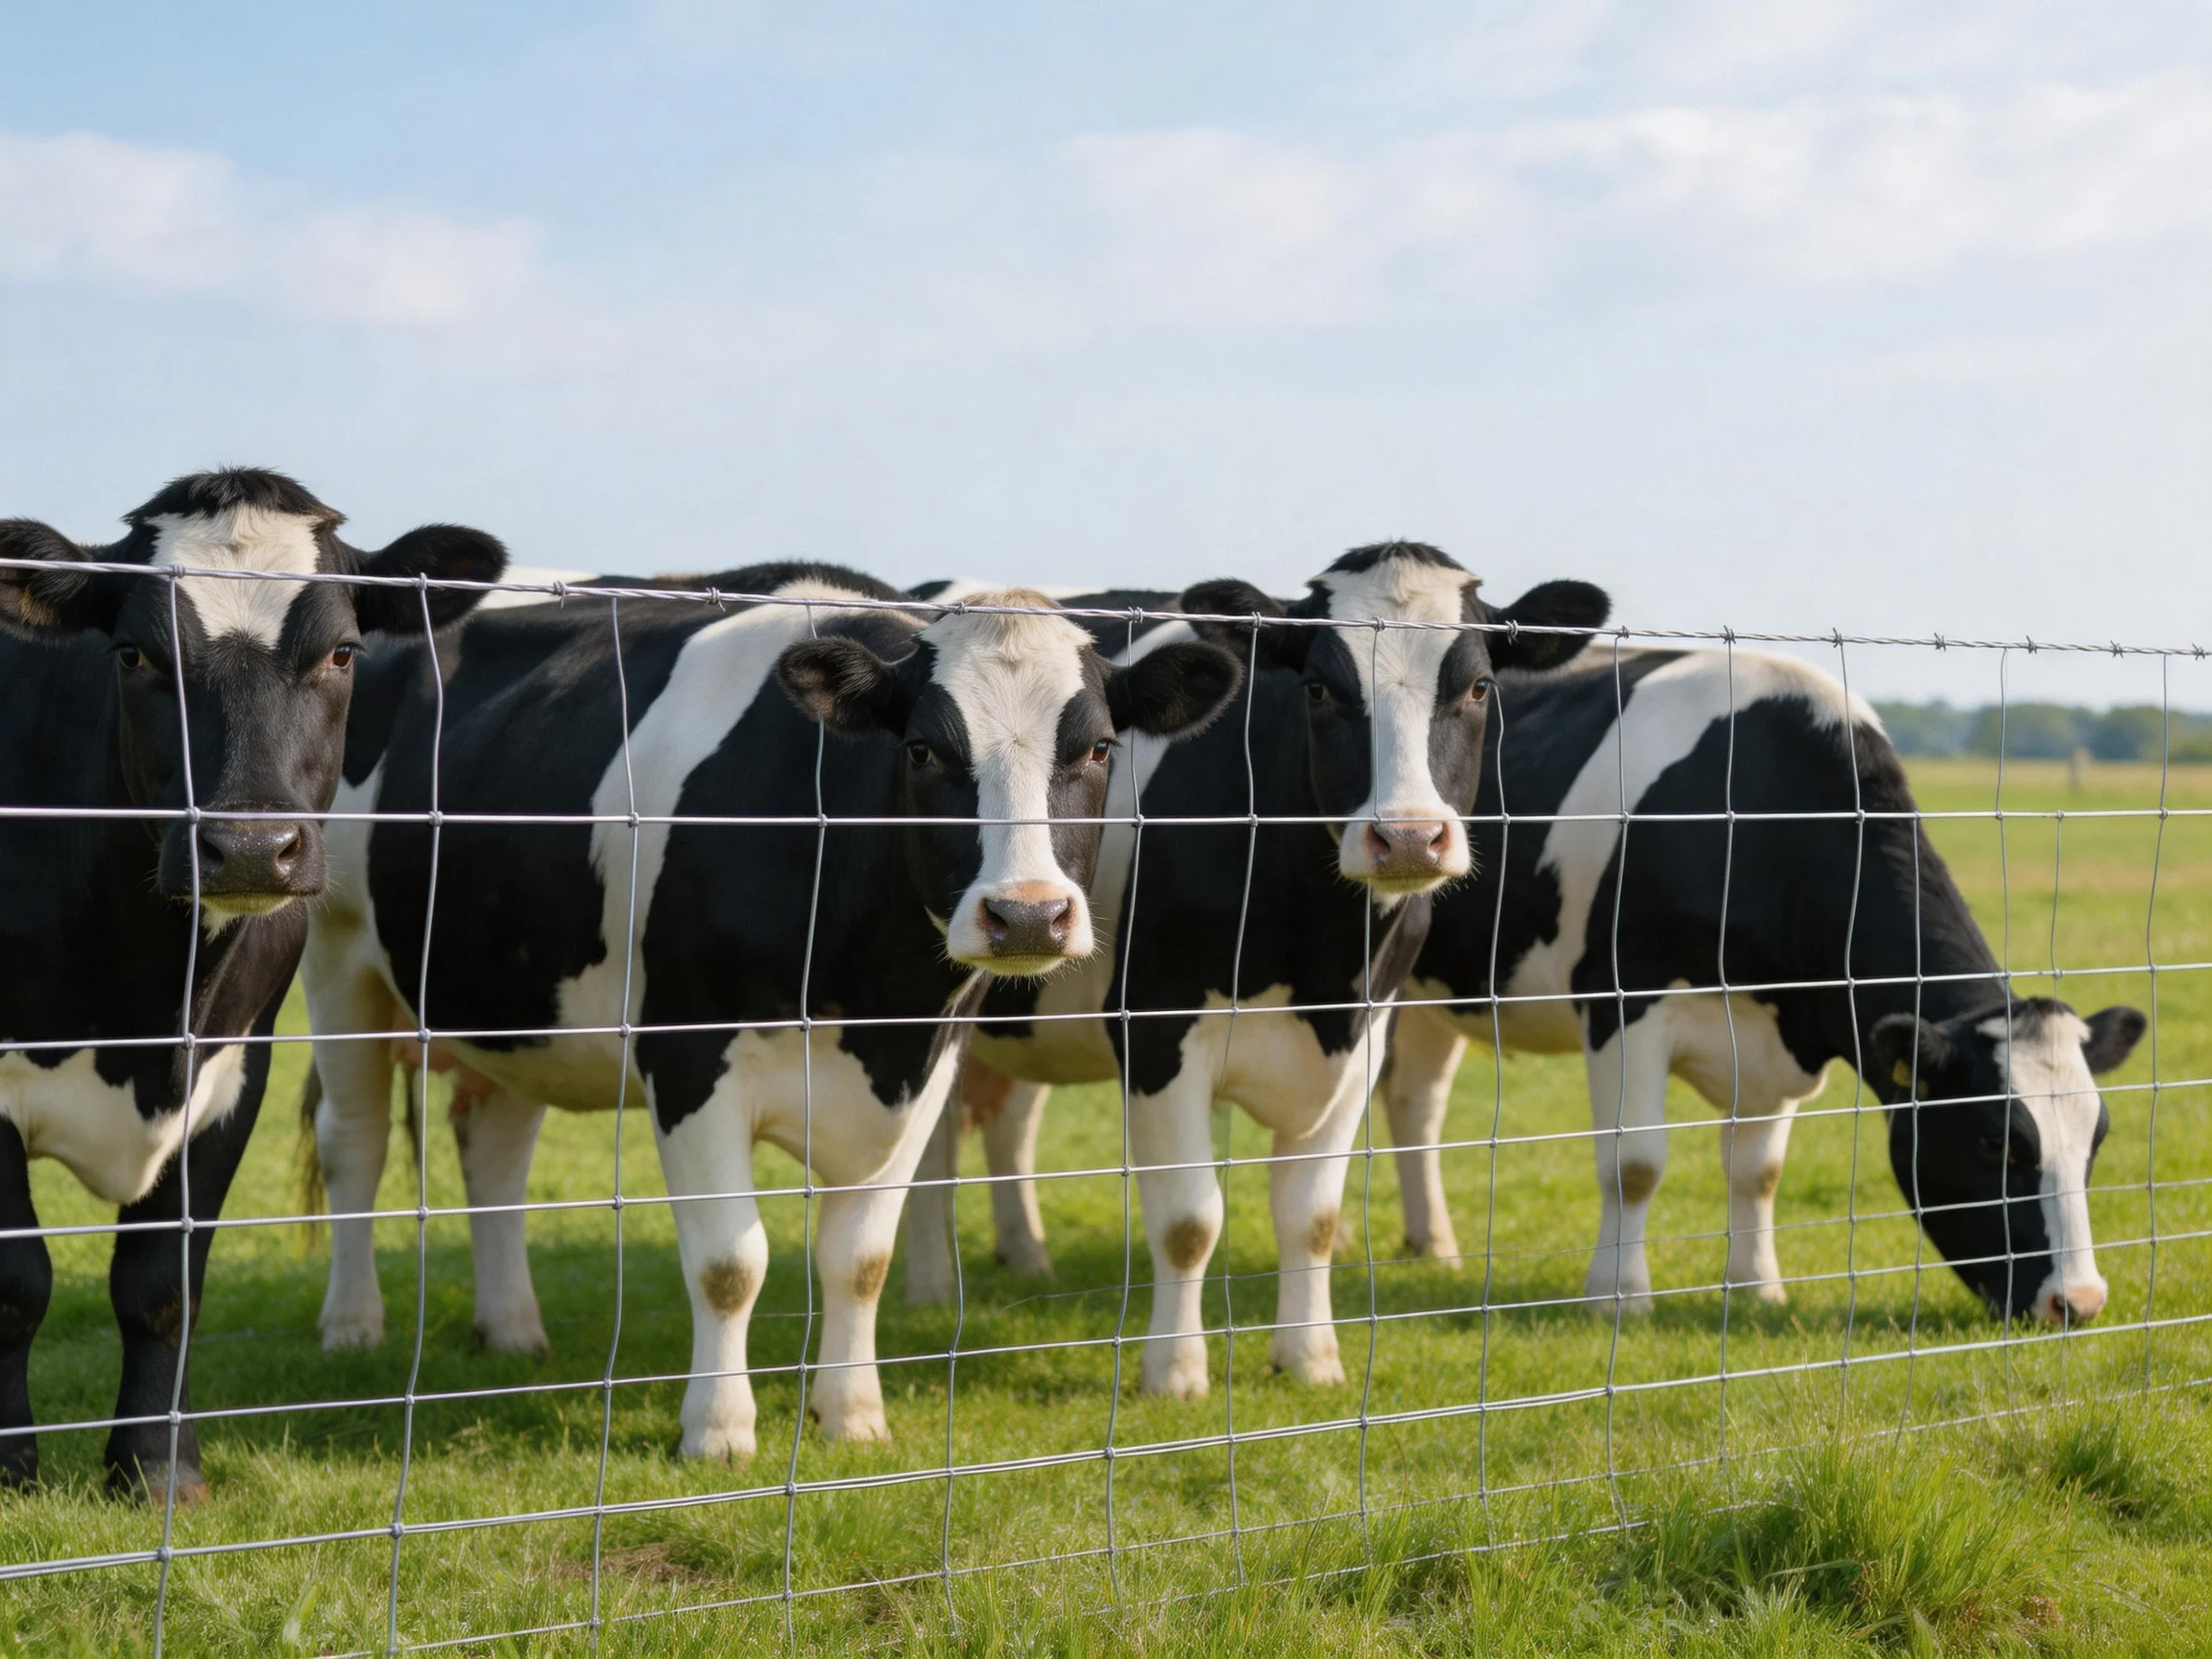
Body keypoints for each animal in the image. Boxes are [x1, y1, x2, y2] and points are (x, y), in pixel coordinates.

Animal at [0, 468, 503, 1500]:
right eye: (134, 654)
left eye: (344, 650)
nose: (245, 846)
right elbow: (15, 1286)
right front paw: (12, 1466)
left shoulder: (235, 1072)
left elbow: (162, 1285)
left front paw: (157, 1469)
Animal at [299, 568, 1240, 1459]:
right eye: (923, 749)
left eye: (1099, 747)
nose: (1029, 914)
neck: (869, 999)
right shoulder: (687, 1057)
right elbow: (730, 1262)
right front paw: (718, 1431)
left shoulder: (925, 1063)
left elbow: (860, 1260)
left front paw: (853, 1416)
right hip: (338, 956)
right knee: (356, 1143)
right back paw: (350, 1326)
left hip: (514, 1000)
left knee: (493, 1149)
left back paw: (512, 1329)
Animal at [901, 549, 1608, 1398]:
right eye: (1319, 688)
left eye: (1478, 687)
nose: (1407, 839)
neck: (1319, 955)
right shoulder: (1158, 1027)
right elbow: (1189, 1219)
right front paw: (1175, 1373)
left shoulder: (1362, 1031)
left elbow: (1313, 1214)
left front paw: (1311, 1358)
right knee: (933, 1147)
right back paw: (933, 1285)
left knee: (1000, 1122)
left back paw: (1024, 1257)